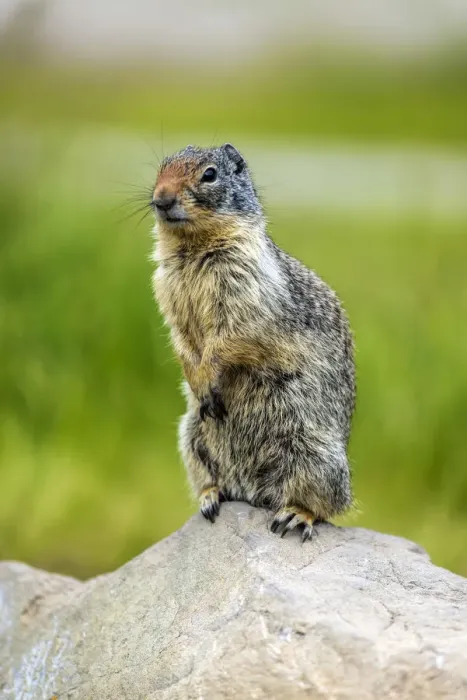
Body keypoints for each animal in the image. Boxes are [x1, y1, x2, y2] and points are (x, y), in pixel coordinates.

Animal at [151, 143, 355, 541]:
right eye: (159, 170)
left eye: (210, 174)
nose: (160, 199)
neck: (192, 250)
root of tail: (254, 493)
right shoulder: (166, 289)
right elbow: (181, 338)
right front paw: (196, 378)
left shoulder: (246, 290)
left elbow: (230, 336)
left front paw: (208, 376)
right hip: (191, 434)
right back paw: (211, 496)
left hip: (315, 454)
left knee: (328, 505)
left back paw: (295, 515)